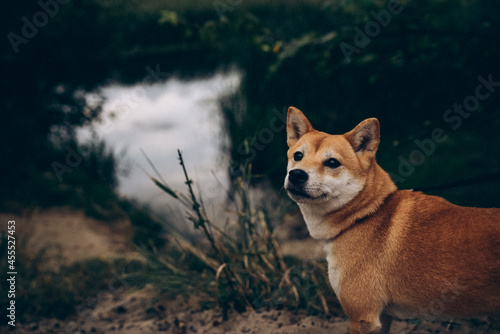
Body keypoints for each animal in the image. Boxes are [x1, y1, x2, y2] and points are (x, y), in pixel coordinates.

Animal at [286, 107, 500, 334]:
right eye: (298, 156)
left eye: (332, 163)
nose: (296, 174)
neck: (365, 214)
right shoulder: (383, 317)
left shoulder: (363, 317)